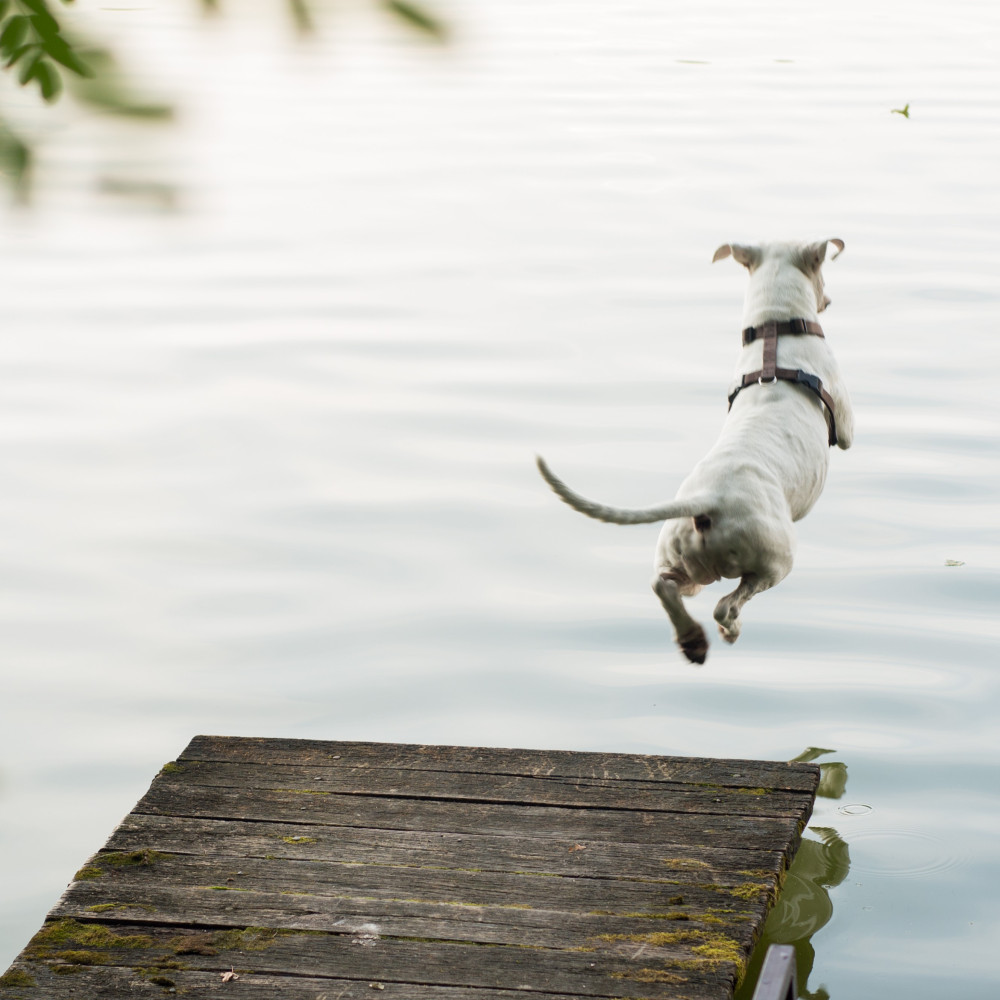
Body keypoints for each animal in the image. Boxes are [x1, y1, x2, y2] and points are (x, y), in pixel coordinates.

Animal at [536, 239, 856, 664]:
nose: (829, 301)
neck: (775, 332)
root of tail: (709, 501)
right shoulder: (846, 419)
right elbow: (848, 435)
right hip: (774, 557)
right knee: (729, 603)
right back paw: (726, 630)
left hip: (683, 560)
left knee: (663, 585)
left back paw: (692, 639)